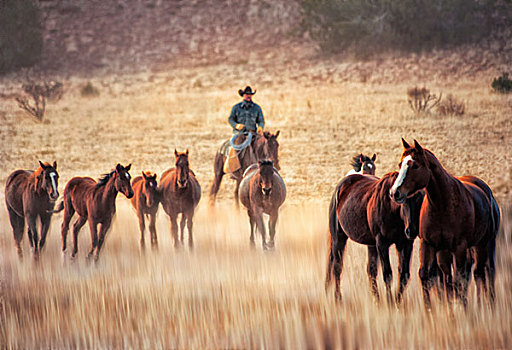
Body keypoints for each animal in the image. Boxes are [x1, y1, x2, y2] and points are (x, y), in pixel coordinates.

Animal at [328, 172, 424, 304]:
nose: (412, 230)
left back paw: (376, 300)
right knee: (337, 267)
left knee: (371, 271)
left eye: (421, 198)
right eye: (403, 201)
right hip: (339, 238)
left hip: (371, 244)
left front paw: (397, 301)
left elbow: (404, 274)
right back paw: (338, 299)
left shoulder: (405, 244)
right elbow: (388, 275)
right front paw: (390, 303)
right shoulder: (382, 244)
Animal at [392, 138, 500, 308]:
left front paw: (463, 309)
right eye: (400, 164)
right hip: (450, 251)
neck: (441, 204)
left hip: (484, 244)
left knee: (483, 273)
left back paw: (488, 305)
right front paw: (432, 311)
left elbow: (459, 280)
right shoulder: (429, 244)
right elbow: (427, 276)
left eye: (415, 166)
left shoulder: (459, 247)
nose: (395, 192)